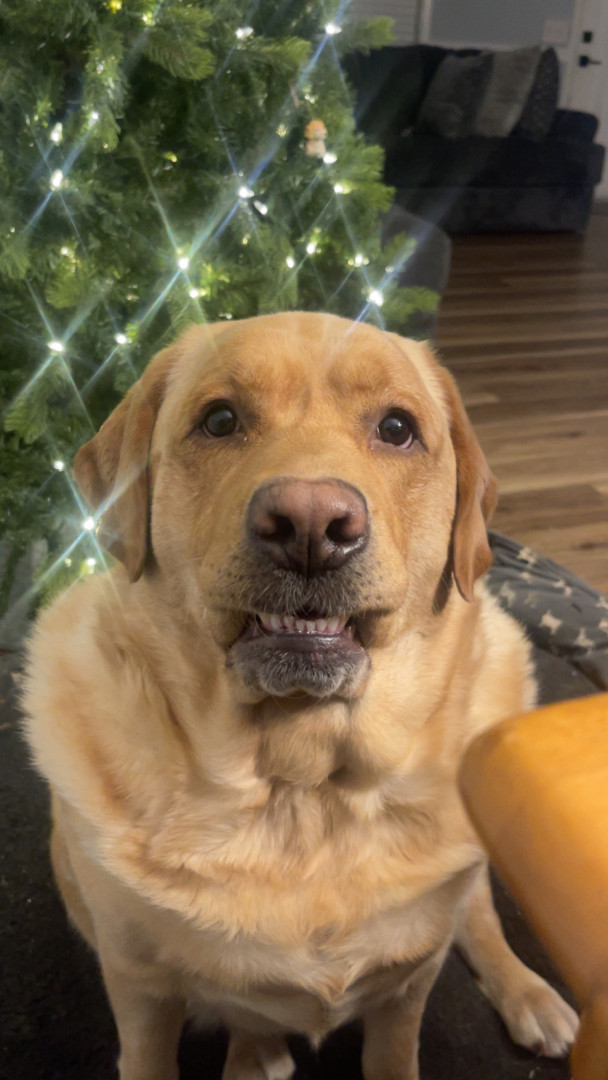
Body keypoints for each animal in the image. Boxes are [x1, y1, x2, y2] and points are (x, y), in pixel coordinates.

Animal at [22, 313, 578, 1080]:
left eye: (398, 428)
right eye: (220, 420)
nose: (311, 523)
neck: (302, 793)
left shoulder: (407, 989)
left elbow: (401, 1040)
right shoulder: (139, 991)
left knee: (478, 914)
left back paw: (530, 993)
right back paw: (257, 1051)